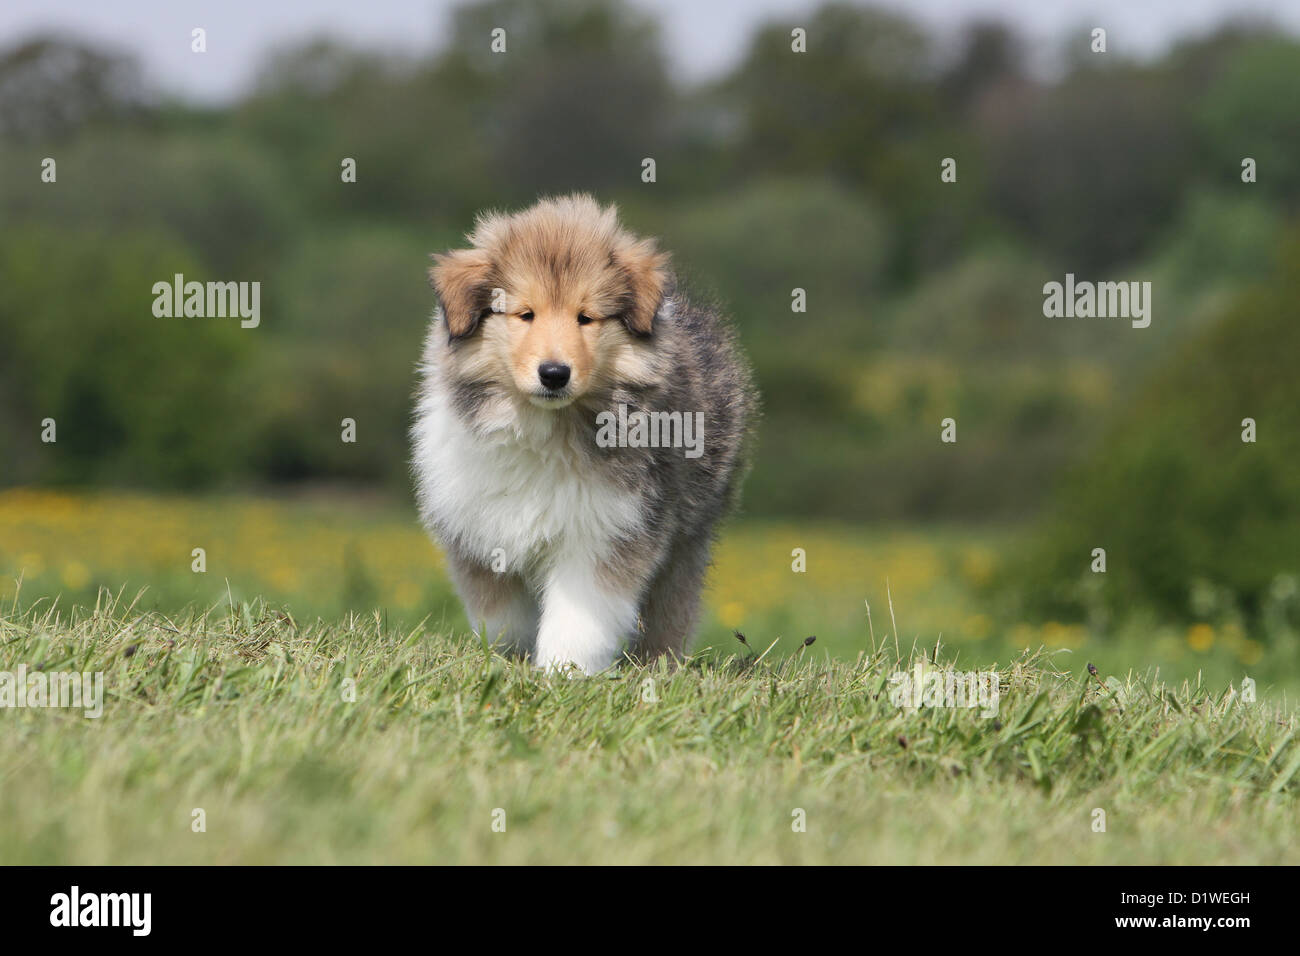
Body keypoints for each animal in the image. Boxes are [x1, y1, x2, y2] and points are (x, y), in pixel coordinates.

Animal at [410, 192, 759, 671]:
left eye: (586, 318)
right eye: (525, 314)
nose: (555, 374)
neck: (547, 427)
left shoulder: (607, 530)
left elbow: (579, 616)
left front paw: (563, 671)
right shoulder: (479, 530)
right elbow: (502, 616)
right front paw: (513, 658)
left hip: (690, 531)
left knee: (673, 605)